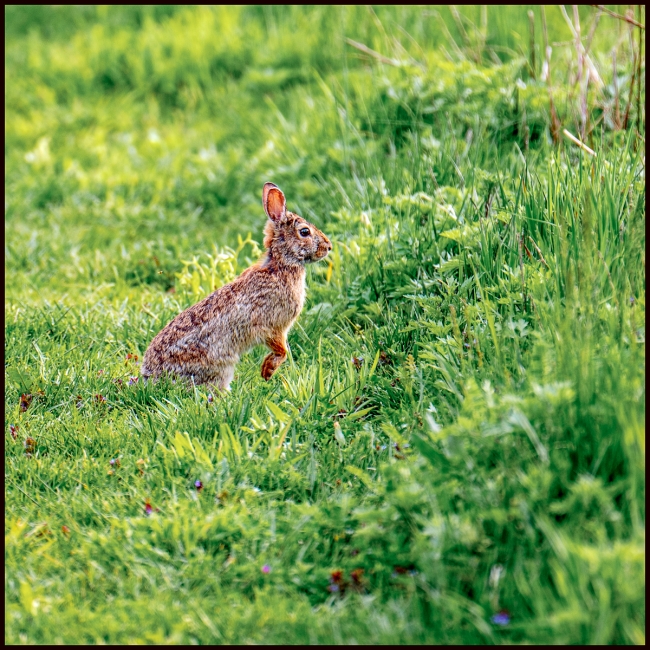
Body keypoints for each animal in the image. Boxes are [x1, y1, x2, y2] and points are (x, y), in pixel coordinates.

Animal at [141, 182, 332, 391]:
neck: (281, 265)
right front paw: (268, 370)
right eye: (305, 232)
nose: (328, 246)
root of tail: (151, 377)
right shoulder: (270, 325)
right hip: (220, 366)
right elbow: (281, 350)